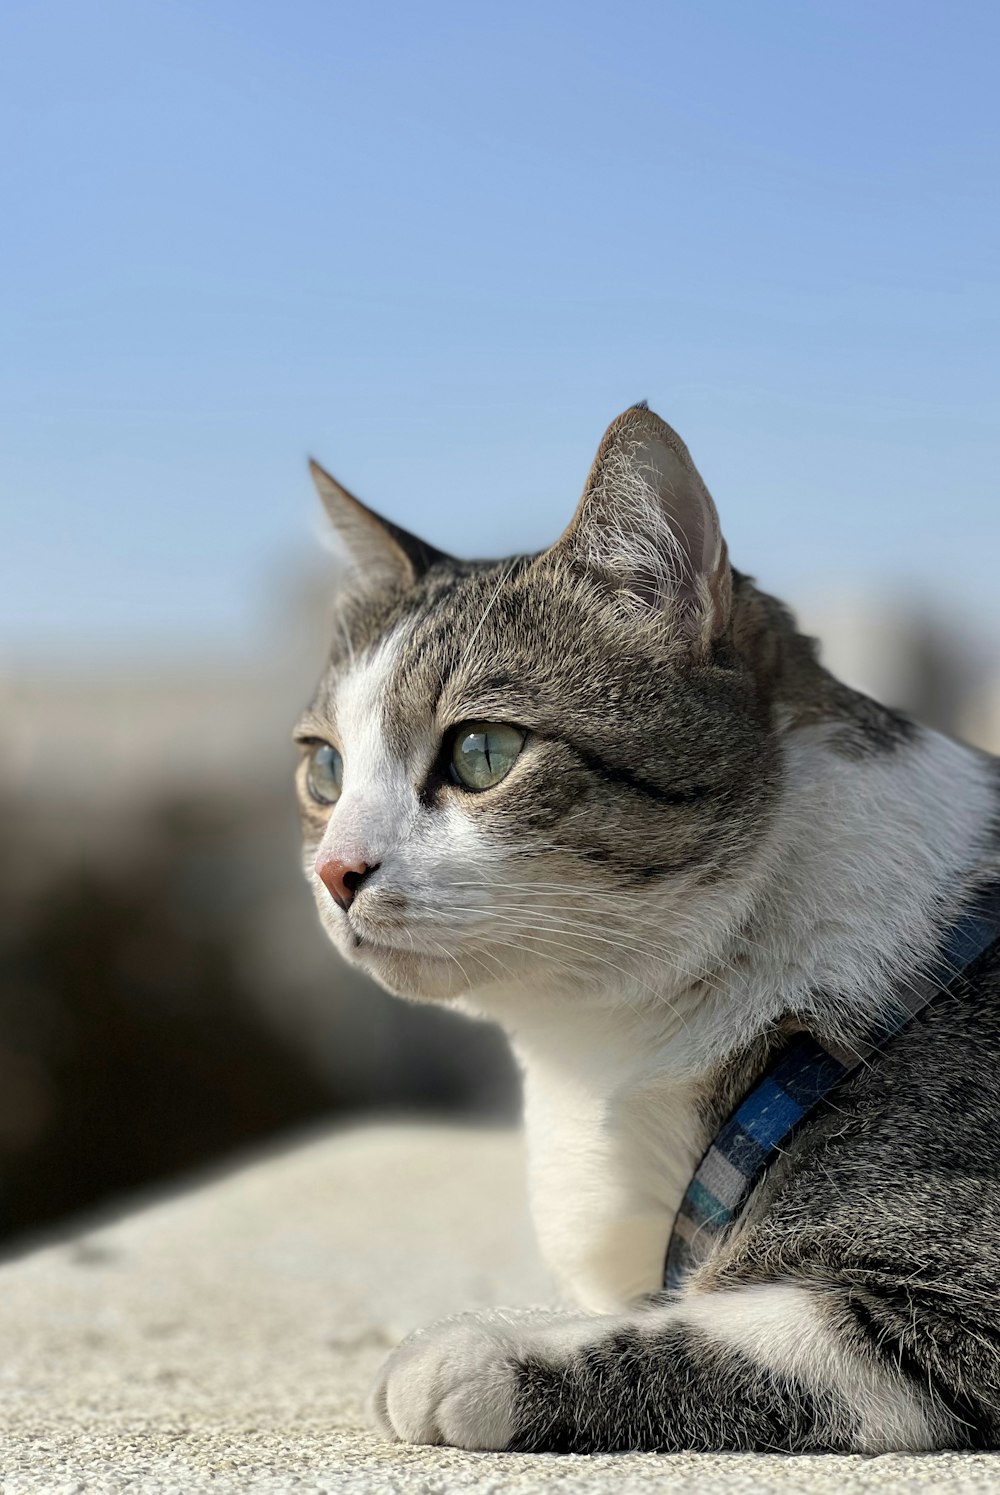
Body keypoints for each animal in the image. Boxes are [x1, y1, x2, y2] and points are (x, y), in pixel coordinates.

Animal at [292, 406, 998, 1447]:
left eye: (482, 751)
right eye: (326, 769)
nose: (336, 870)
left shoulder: (958, 1288)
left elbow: (717, 1336)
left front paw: (473, 1350)